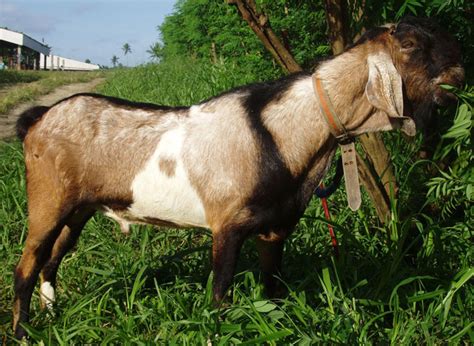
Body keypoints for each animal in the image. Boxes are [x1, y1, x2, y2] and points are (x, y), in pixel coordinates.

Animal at [12, 16, 462, 338]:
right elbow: (221, 295)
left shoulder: (275, 230)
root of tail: (39, 119)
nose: (459, 72)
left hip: (79, 208)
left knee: (52, 259)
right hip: (48, 201)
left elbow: (272, 288)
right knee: (27, 264)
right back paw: (22, 332)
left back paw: (52, 312)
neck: (280, 134)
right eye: (409, 45)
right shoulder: (225, 226)